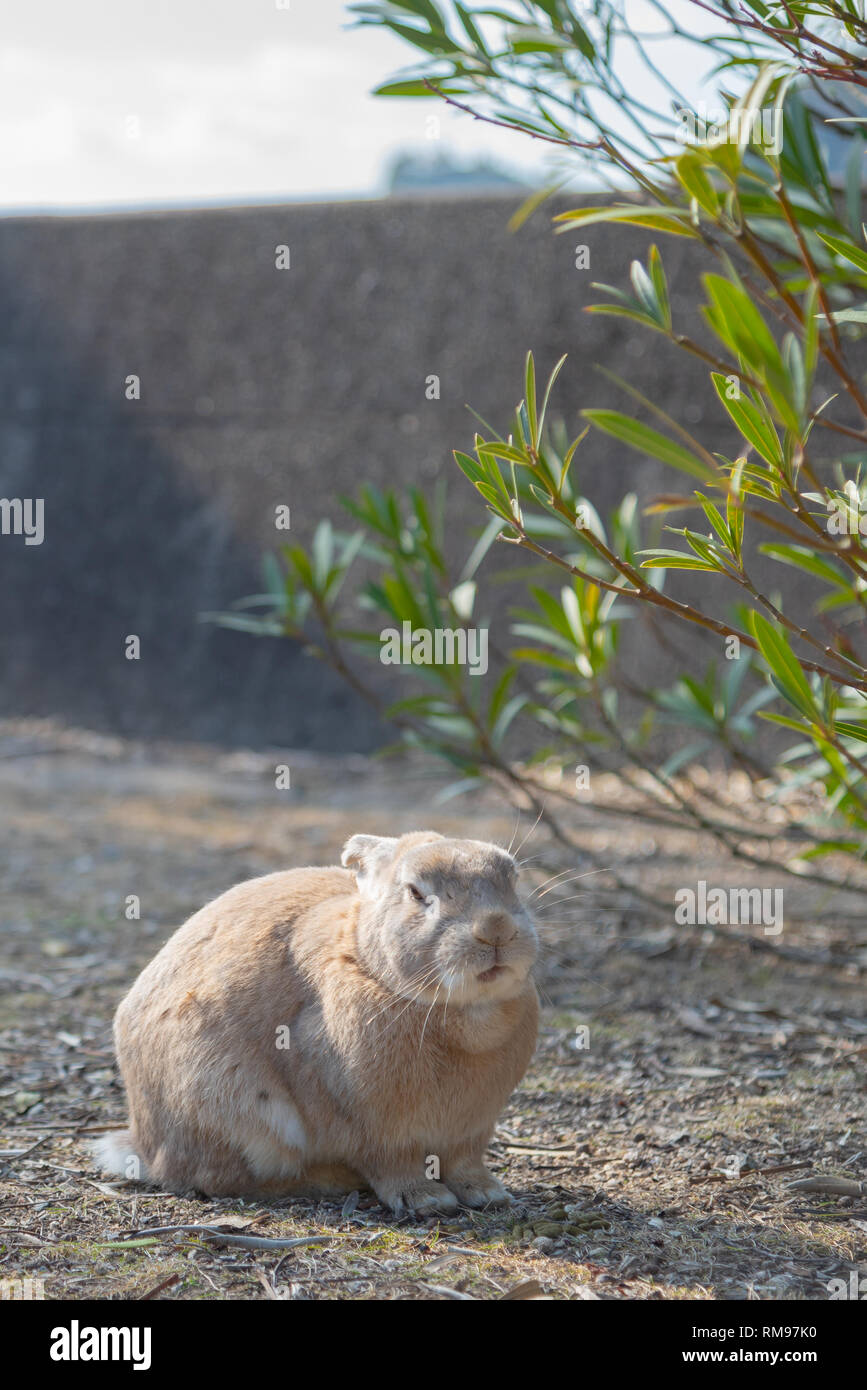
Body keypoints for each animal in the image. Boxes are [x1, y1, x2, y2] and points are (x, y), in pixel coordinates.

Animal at [92, 830, 539, 1215]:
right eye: (415, 893)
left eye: (513, 880)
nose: (495, 929)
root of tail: (145, 1144)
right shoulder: (374, 1130)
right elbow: (393, 1164)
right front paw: (427, 1200)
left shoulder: (471, 1130)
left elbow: (465, 1163)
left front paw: (488, 1193)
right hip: (232, 1105)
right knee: (221, 1178)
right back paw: (330, 1179)